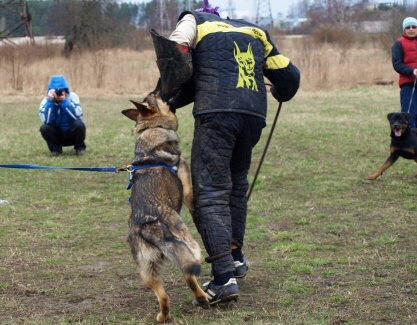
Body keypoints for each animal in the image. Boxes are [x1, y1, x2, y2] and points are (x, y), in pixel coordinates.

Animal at [122, 86, 210, 322]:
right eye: (156, 95)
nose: (159, 87)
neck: (153, 129)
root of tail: (150, 225)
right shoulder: (188, 192)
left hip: (147, 271)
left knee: (163, 296)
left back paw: (164, 316)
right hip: (190, 247)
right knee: (189, 273)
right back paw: (203, 298)